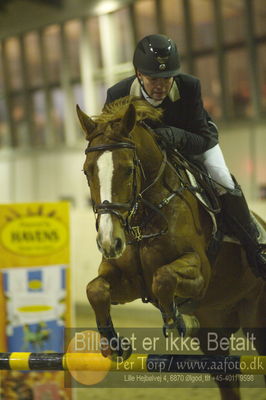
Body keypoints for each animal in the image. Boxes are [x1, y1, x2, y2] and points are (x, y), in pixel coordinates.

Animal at [76, 95, 264, 398]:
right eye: (86, 171)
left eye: (129, 169)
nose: (109, 242)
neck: (142, 218)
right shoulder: (128, 283)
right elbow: (95, 289)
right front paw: (113, 344)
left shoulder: (200, 274)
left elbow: (163, 278)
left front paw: (178, 322)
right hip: (214, 330)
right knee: (227, 378)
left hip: (257, 318)